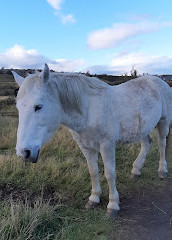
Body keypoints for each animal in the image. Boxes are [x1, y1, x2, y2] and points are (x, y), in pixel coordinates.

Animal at [12, 64, 172, 218]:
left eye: (38, 106)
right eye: (18, 108)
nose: (23, 153)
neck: (88, 110)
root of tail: (159, 81)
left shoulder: (107, 146)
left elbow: (109, 173)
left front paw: (113, 205)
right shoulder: (86, 147)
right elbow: (93, 171)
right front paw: (94, 199)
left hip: (163, 123)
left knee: (162, 144)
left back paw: (162, 171)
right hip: (142, 128)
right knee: (147, 143)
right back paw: (136, 170)